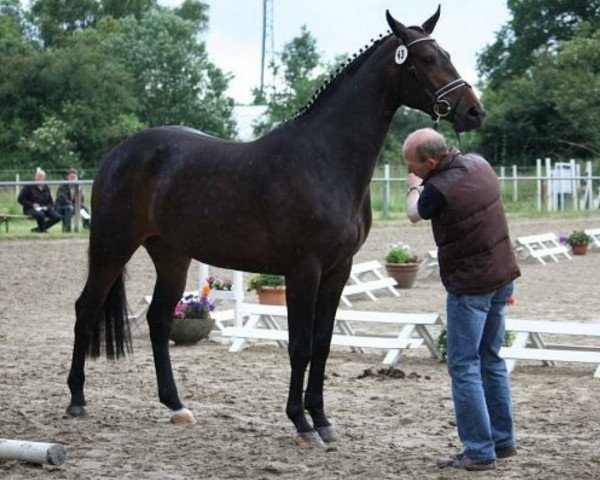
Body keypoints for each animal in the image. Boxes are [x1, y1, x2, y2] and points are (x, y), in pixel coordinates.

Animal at [67, 7, 482, 448]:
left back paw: (176, 406)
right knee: (86, 308)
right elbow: (299, 345)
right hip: (112, 245)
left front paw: (322, 419)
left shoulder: (339, 270)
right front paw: (301, 423)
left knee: (159, 319)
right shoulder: (304, 268)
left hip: (171, 254)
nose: (474, 111)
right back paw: (77, 400)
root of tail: (118, 153)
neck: (325, 158)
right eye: (427, 59)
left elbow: (322, 344)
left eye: (447, 54)